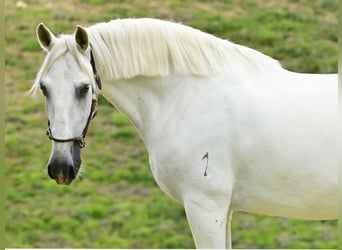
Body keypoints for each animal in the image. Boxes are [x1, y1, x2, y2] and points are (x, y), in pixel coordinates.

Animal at [32, 18, 336, 248]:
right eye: (44, 88)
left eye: (84, 88)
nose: (61, 168)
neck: (187, 96)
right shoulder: (223, 211)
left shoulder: (205, 208)